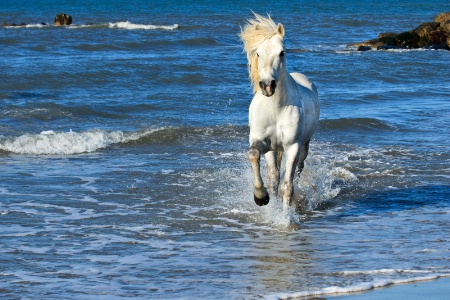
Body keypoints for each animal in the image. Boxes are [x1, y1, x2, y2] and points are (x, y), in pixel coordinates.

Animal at [239, 12, 320, 207]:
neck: (275, 108)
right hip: (273, 149)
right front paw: (261, 197)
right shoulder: (262, 143)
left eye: (282, 52)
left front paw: (285, 214)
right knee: (274, 177)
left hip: (304, 145)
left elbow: (287, 187)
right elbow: (254, 155)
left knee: (298, 170)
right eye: (258, 53)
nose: (267, 85)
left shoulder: (292, 146)